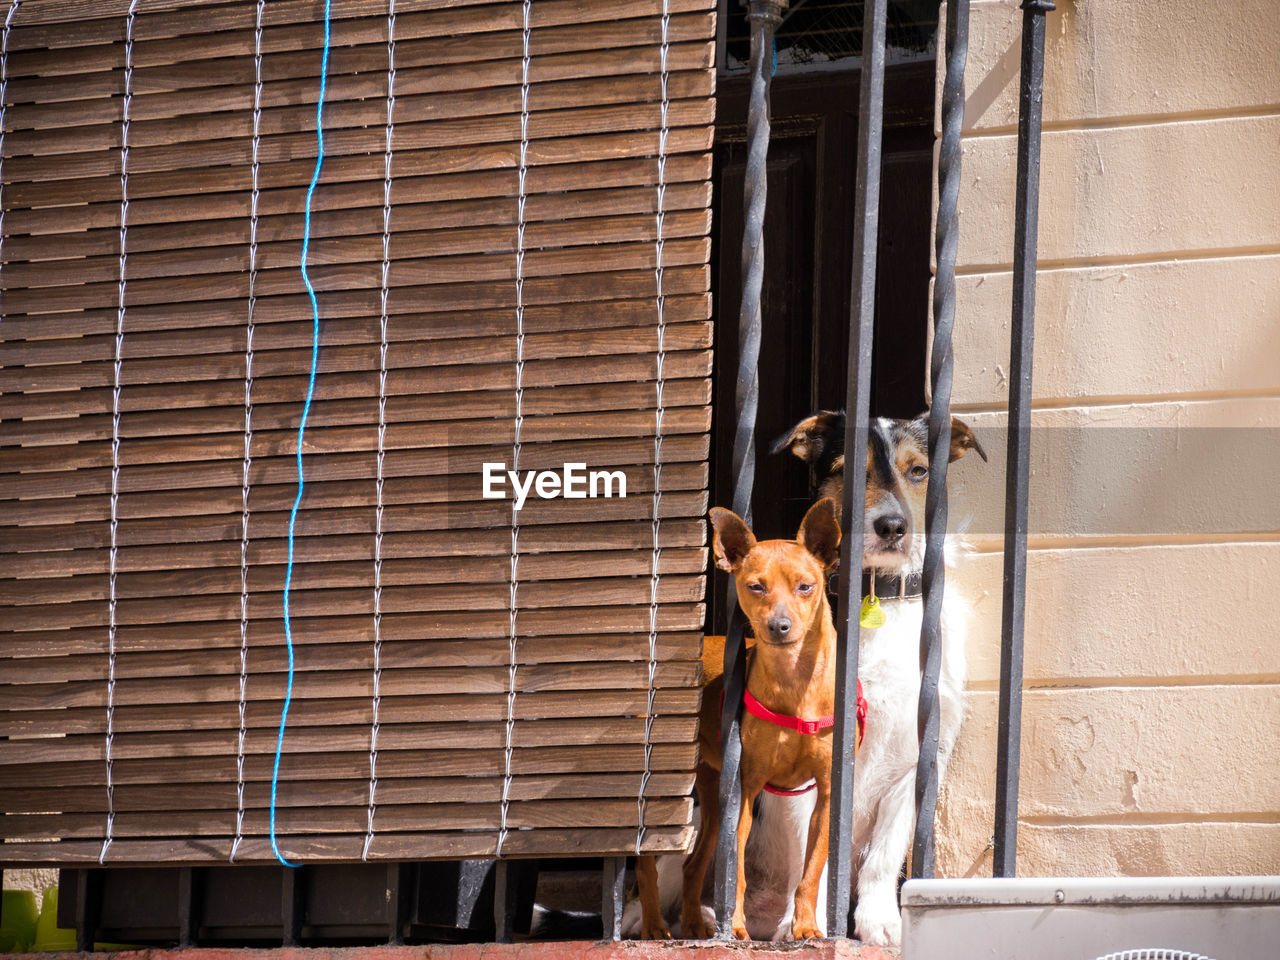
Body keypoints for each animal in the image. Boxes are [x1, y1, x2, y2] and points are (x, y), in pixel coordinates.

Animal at [637, 499, 849, 942]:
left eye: (806, 586)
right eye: (755, 586)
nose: (779, 626)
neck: (794, 683)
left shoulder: (826, 794)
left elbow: (811, 871)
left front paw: (806, 926)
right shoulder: (745, 792)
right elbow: (736, 873)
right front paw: (734, 928)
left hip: (712, 789)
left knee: (692, 864)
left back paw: (693, 925)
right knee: (645, 863)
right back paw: (653, 925)